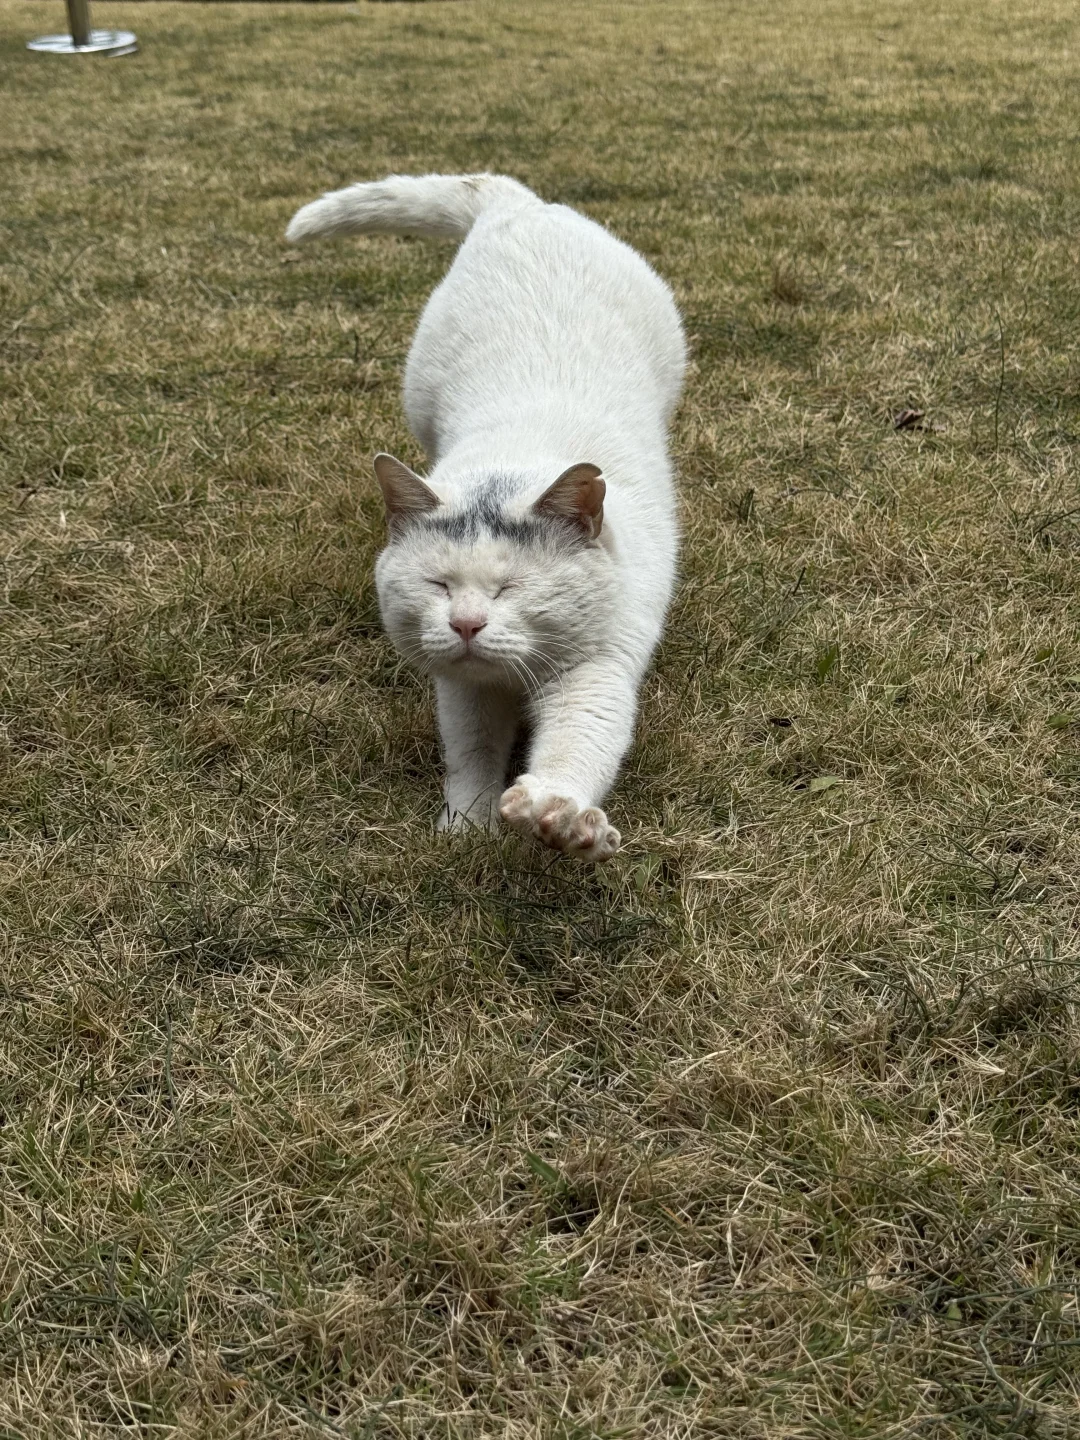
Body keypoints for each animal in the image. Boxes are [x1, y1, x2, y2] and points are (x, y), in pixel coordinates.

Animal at [288, 174, 688, 858]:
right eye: (438, 585)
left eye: (511, 588)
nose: (467, 624)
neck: (518, 451)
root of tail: (519, 202)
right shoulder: (464, 688)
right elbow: (471, 752)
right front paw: (467, 826)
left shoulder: (598, 670)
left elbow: (579, 744)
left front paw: (559, 814)